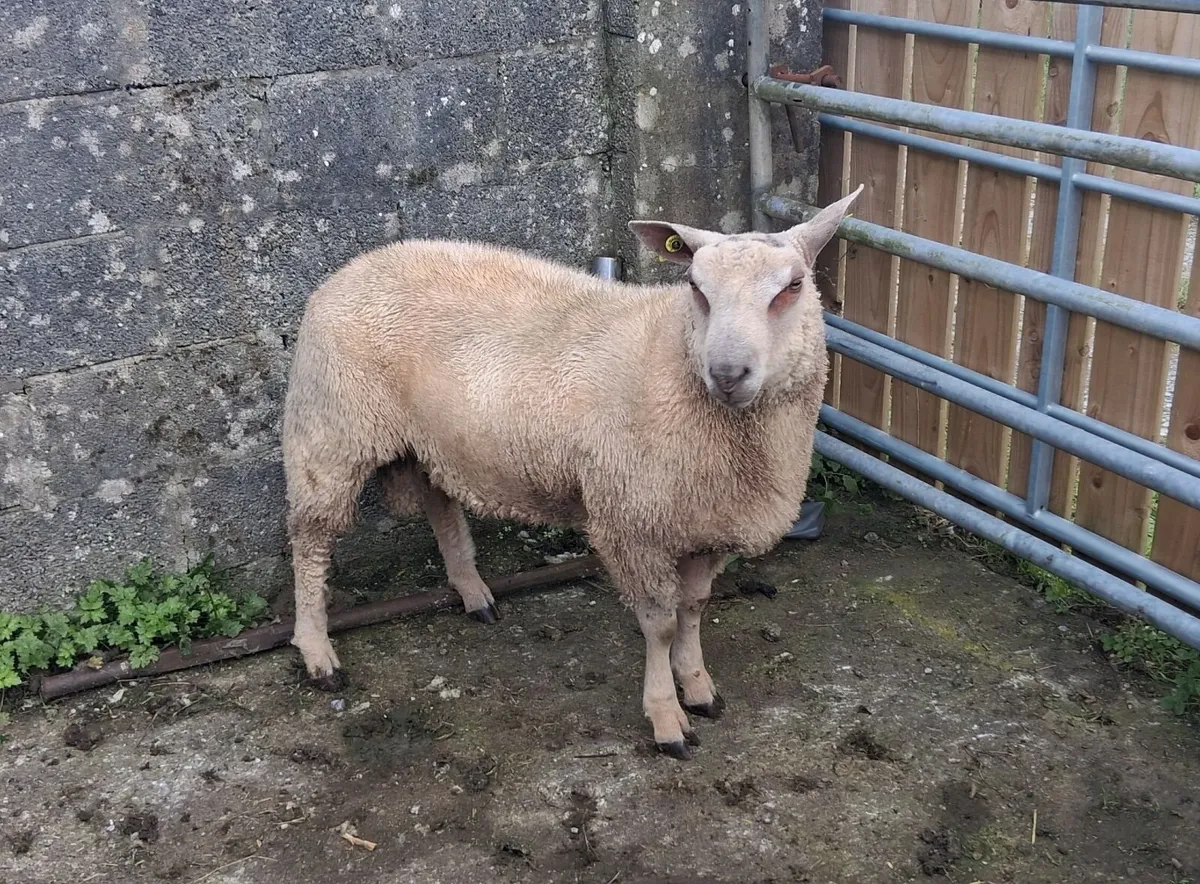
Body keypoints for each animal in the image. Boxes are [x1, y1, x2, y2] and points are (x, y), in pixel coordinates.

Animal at [282, 184, 864, 758]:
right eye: (695, 287)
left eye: (793, 286)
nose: (726, 373)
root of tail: (358, 264)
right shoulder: (632, 522)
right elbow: (661, 624)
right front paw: (667, 719)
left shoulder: (709, 520)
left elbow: (694, 608)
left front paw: (698, 687)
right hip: (331, 427)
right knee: (310, 540)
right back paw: (317, 652)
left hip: (432, 436)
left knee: (439, 502)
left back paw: (472, 592)